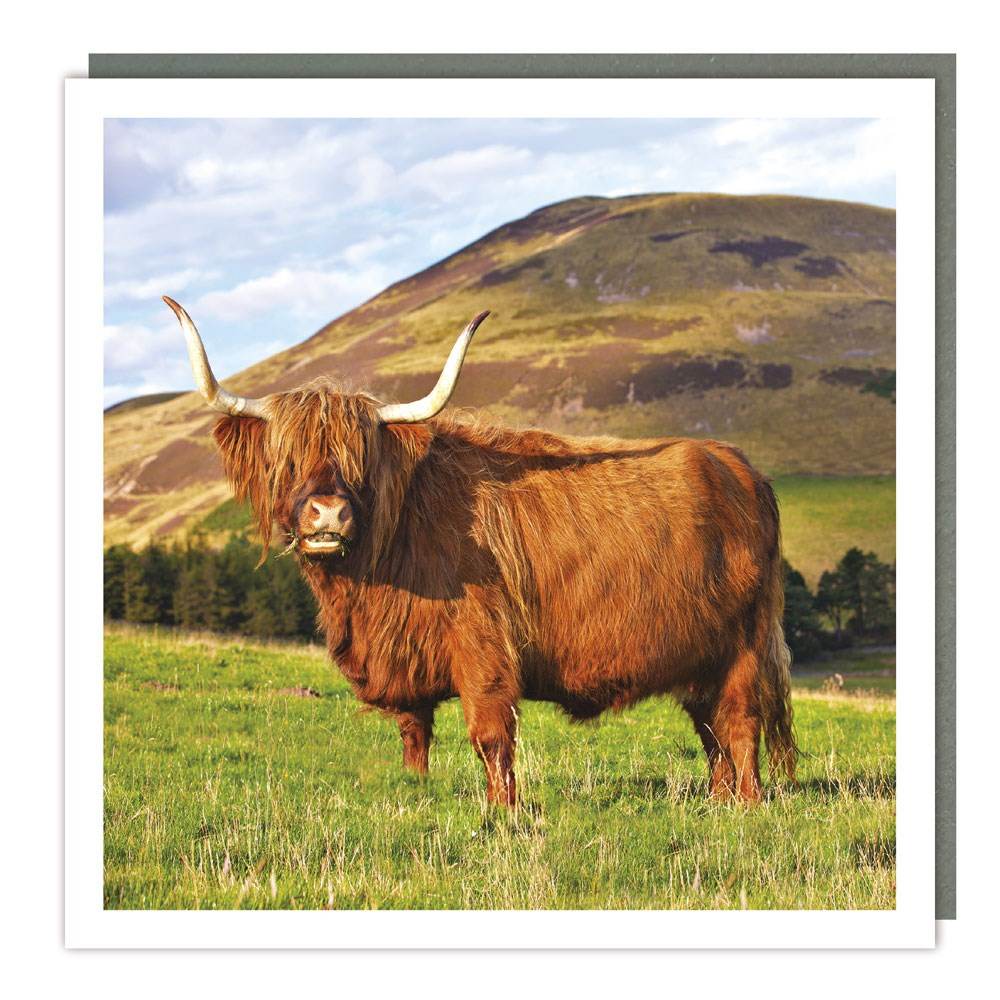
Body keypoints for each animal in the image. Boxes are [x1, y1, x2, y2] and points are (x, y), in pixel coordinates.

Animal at [163, 296, 796, 805]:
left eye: (361, 458)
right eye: (286, 459)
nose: (328, 514)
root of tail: (740, 467)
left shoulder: (484, 641)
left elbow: (490, 734)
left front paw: (504, 812)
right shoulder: (405, 656)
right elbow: (414, 732)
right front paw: (416, 789)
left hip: (744, 644)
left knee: (741, 724)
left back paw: (746, 806)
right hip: (699, 657)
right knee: (711, 730)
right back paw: (716, 800)